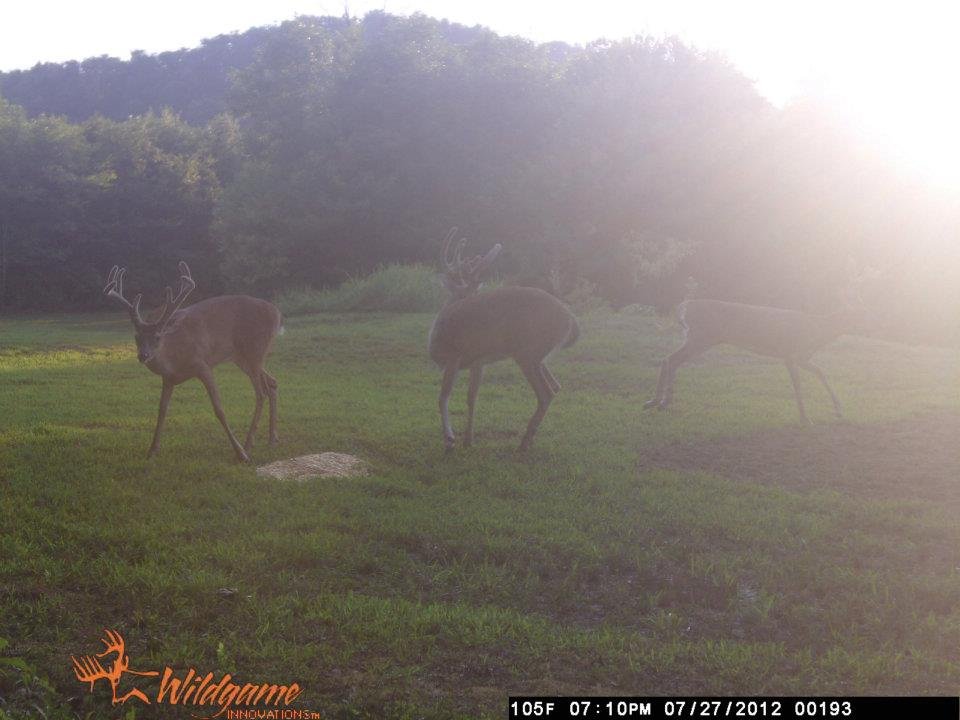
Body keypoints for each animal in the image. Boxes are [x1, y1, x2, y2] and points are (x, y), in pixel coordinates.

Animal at [103, 261, 282, 462]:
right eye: (136, 337)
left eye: (157, 337)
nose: (143, 355)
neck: (175, 357)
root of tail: (277, 314)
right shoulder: (168, 378)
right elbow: (162, 410)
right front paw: (152, 450)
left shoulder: (202, 365)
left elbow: (219, 409)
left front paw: (240, 453)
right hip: (243, 358)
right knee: (272, 383)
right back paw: (272, 439)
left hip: (255, 351)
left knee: (261, 393)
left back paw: (248, 444)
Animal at [428, 229, 580, 452]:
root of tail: (571, 320)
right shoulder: (478, 361)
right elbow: (471, 397)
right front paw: (468, 440)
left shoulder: (454, 356)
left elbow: (443, 396)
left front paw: (450, 440)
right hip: (539, 357)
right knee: (557, 385)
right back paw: (530, 438)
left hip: (527, 353)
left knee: (546, 393)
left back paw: (524, 442)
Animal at [643, 288, 873, 424]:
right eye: (860, 315)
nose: (872, 327)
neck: (817, 331)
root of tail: (684, 307)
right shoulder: (790, 353)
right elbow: (798, 384)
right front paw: (804, 417)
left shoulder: (801, 357)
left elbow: (821, 372)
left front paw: (838, 410)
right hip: (701, 337)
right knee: (671, 359)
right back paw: (660, 402)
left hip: (698, 338)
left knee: (669, 359)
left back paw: (657, 402)